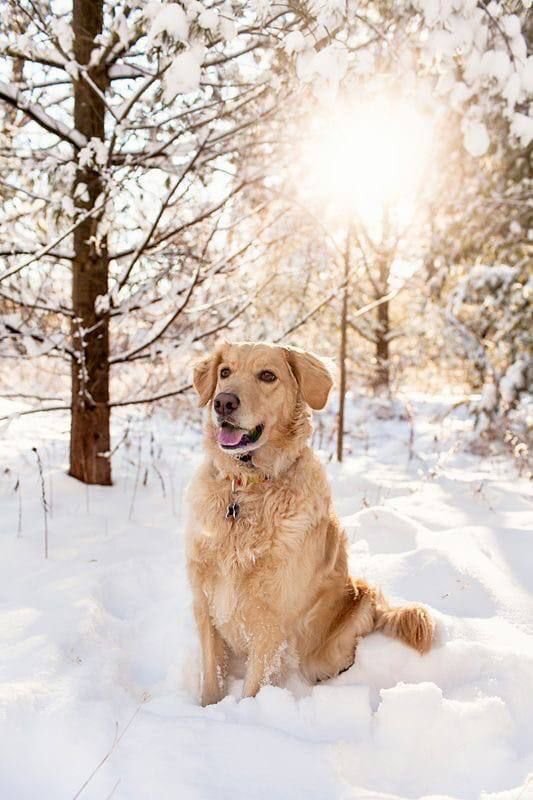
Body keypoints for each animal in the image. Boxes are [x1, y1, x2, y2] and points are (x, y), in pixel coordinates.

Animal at [185, 340, 434, 704]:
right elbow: (210, 680)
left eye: (268, 376)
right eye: (225, 372)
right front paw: (208, 710)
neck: (246, 488)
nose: (223, 402)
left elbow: (253, 688)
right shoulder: (205, 605)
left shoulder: (270, 622)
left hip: (347, 618)